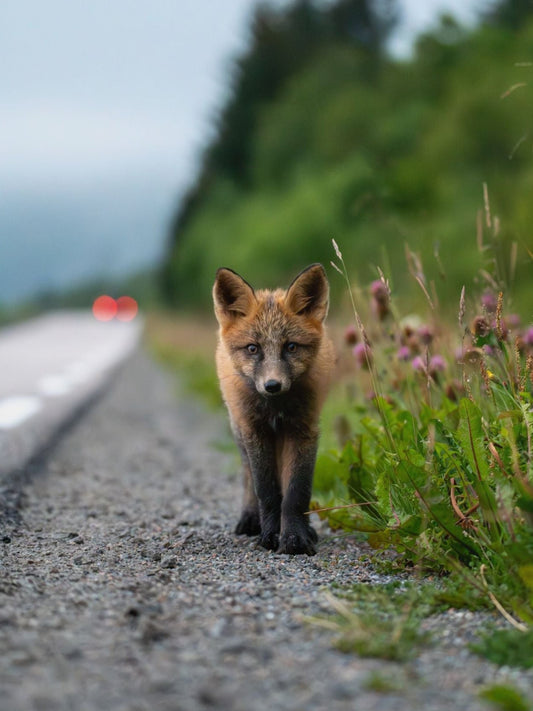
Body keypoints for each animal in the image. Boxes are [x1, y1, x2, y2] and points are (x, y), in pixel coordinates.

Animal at [213, 263, 335, 555]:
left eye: (290, 347)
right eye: (253, 348)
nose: (272, 385)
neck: (276, 408)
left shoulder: (304, 430)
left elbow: (296, 493)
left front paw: (295, 537)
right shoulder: (255, 431)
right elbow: (267, 490)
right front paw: (270, 535)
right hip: (240, 431)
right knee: (248, 478)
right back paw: (250, 519)